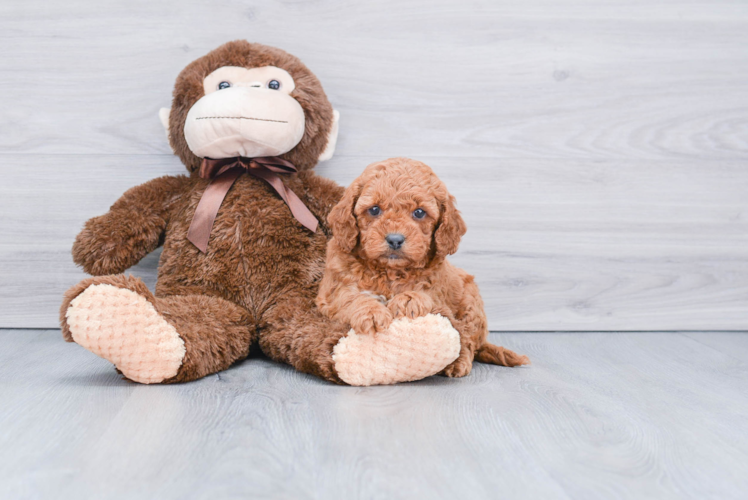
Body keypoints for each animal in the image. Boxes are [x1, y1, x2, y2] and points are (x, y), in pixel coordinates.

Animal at [318, 158, 528, 376]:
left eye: (419, 212)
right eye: (374, 209)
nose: (395, 239)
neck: (389, 271)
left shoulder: (438, 289)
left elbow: (424, 293)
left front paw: (408, 300)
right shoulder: (332, 291)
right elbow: (349, 297)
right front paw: (371, 312)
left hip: (471, 305)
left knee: (467, 340)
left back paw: (457, 364)